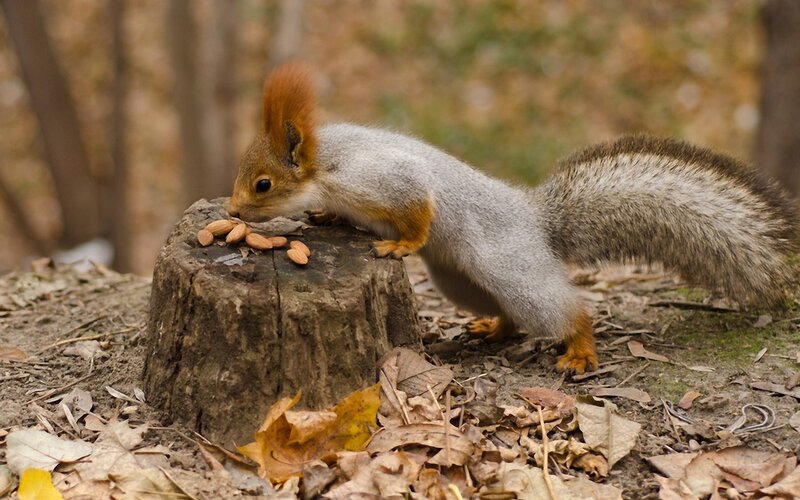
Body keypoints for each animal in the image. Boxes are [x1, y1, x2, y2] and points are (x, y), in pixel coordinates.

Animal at [228, 63, 798, 374]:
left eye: (263, 185)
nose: (233, 211)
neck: (324, 163)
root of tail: (536, 220)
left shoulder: (378, 178)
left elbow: (418, 205)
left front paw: (401, 244)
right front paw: (324, 216)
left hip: (511, 268)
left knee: (563, 310)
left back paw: (580, 349)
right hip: (460, 280)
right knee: (506, 314)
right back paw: (492, 327)